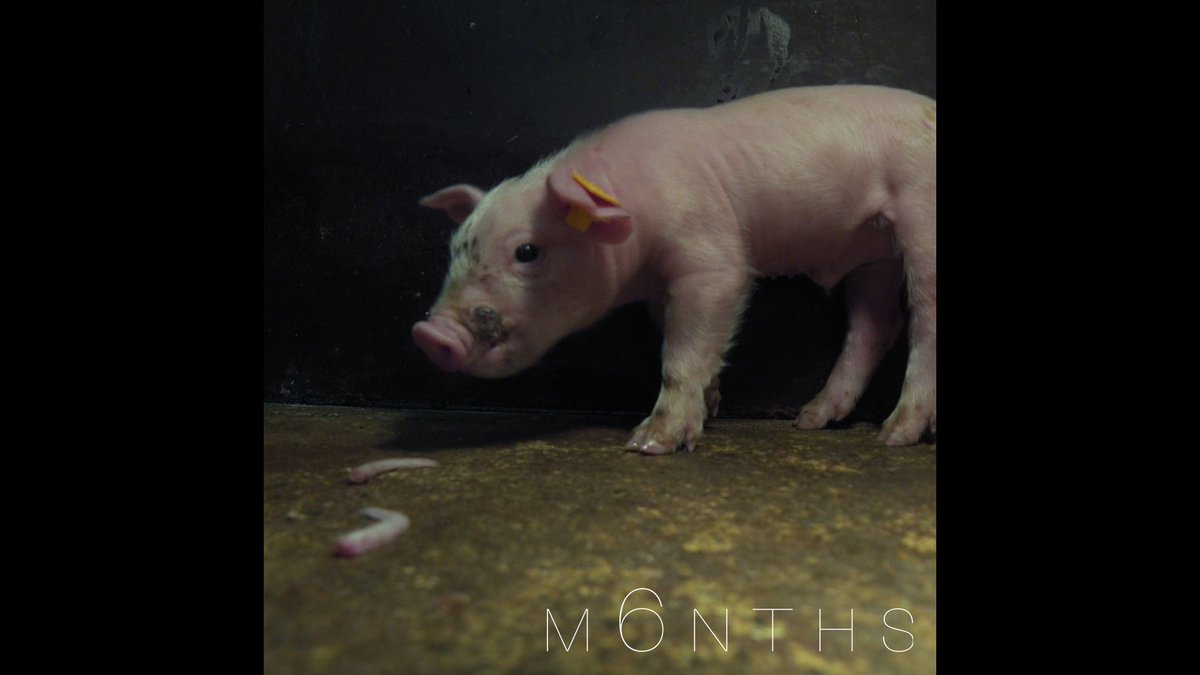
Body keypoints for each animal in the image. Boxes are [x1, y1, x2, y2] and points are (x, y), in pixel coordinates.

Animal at [412, 85, 935, 453]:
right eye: (455, 249)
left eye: (526, 251)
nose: (430, 333)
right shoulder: (657, 291)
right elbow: (686, 341)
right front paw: (713, 403)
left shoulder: (711, 260)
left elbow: (681, 351)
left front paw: (649, 443)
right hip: (874, 254)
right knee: (876, 324)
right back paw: (810, 420)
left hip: (921, 222)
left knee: (923, 323)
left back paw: (893, 435)